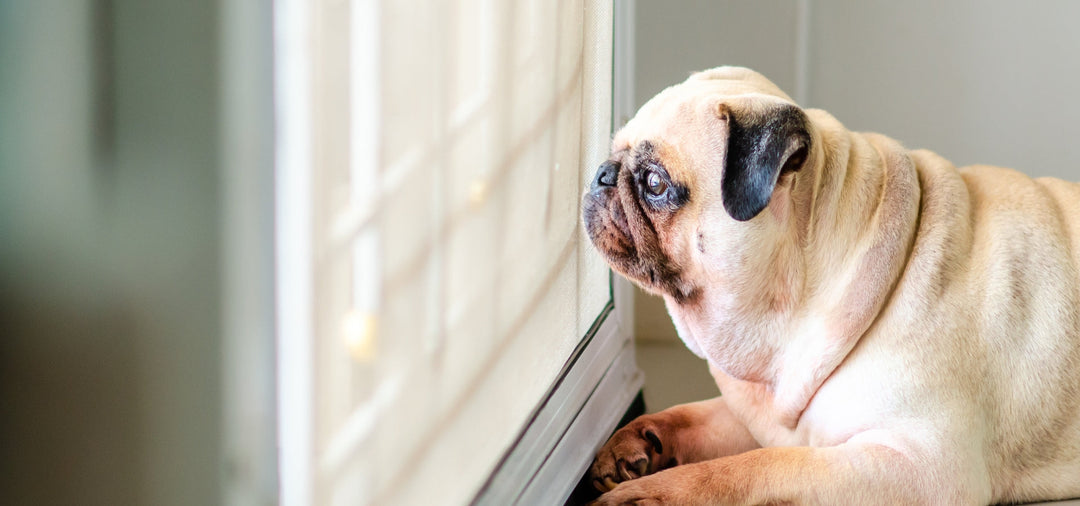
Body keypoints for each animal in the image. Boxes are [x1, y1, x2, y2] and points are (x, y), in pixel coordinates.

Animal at [587, 66, 1080, 500]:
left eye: (655, 183)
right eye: (614, 154)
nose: (601, 175)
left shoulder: (923, 466)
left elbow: (753, 467)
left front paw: (651, 494)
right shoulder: (766, 417)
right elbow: (689, 415)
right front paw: (635, 440)